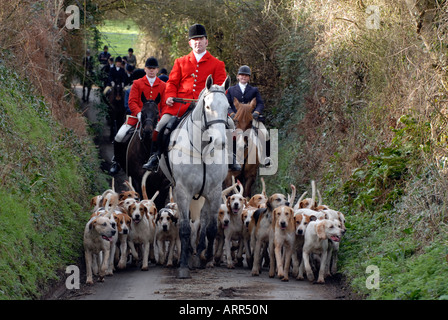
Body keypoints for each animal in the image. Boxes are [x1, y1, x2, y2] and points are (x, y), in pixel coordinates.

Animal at [160, 74, 231, 278]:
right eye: (208, 107)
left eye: (228, 107)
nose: (220, 142)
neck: (203, 148)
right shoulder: (183, 191)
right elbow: (184, 228)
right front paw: (184, 265)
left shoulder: (214, 191)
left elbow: (211, 228)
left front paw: (206, 257)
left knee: (203, 220)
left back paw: (198, 254)